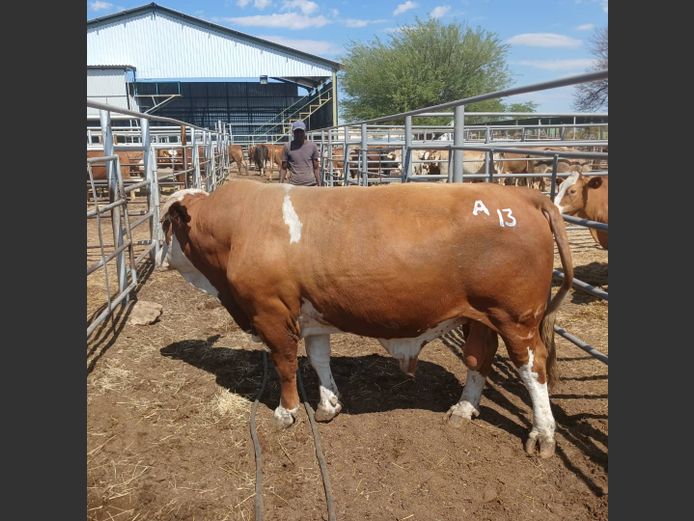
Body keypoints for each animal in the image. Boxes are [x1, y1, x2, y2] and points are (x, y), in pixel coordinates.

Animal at [157, 180, 574, 458]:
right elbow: (318, 359)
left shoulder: (271, 314)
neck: (240, 229)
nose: (153, 257)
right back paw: (463, 409)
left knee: (532, 369)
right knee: (479, 357)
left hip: (516, 319)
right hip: (485, 317)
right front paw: (328, 405)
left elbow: (286, 365)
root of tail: (522, 195)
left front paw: (286, 412)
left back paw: (542, 435)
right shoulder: (313, 314)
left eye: (164, 224)